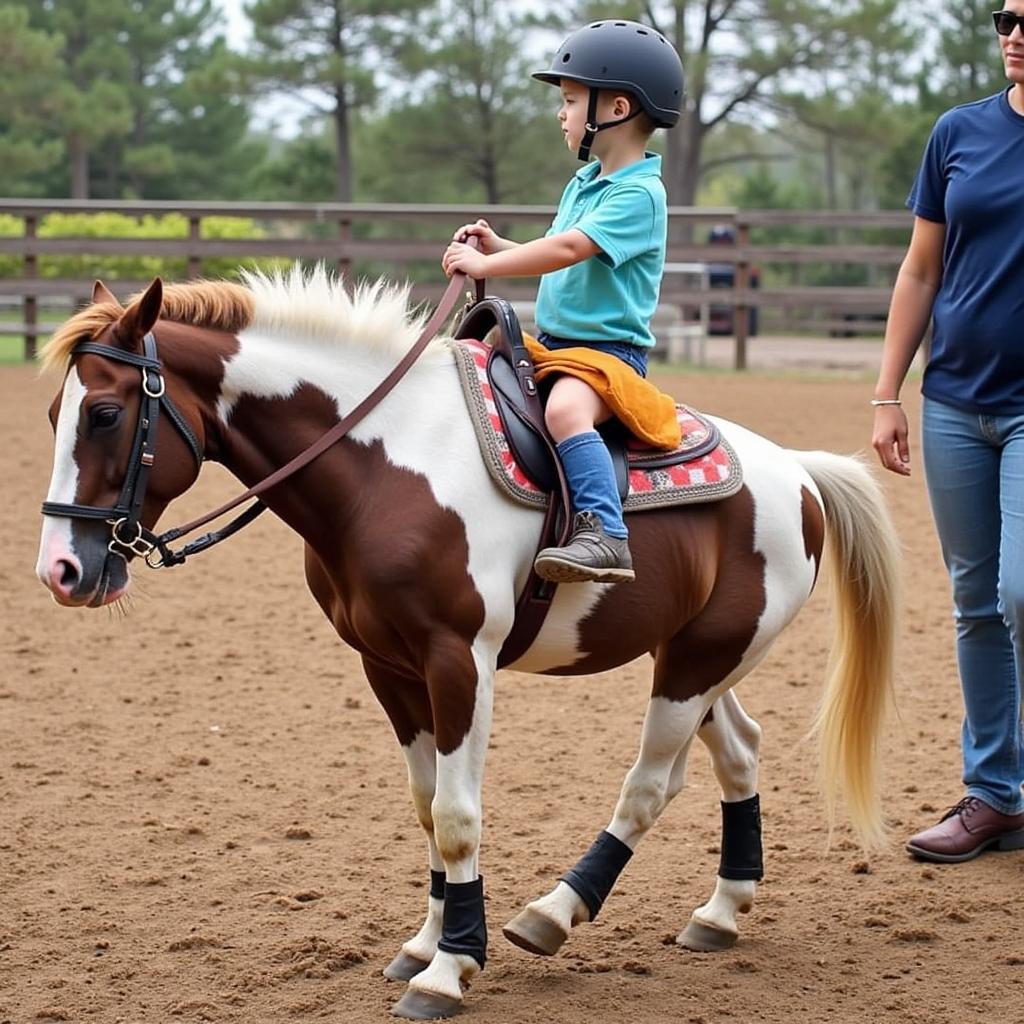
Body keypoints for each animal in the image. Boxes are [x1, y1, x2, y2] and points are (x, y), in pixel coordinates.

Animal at [36, 270, 897, 1015]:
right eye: (53, 415)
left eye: (104, 414)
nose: (62, 571)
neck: (384, 466)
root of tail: (799, 473)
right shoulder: (387, 667)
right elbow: (426, 810)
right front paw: (425, 943)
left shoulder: (460, 661)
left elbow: (457, 815)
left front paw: (449, 970)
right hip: (694, 656)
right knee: (740, 752)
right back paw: (719, 910)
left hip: (697, 662)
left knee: (651, 785)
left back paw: (555, 911)